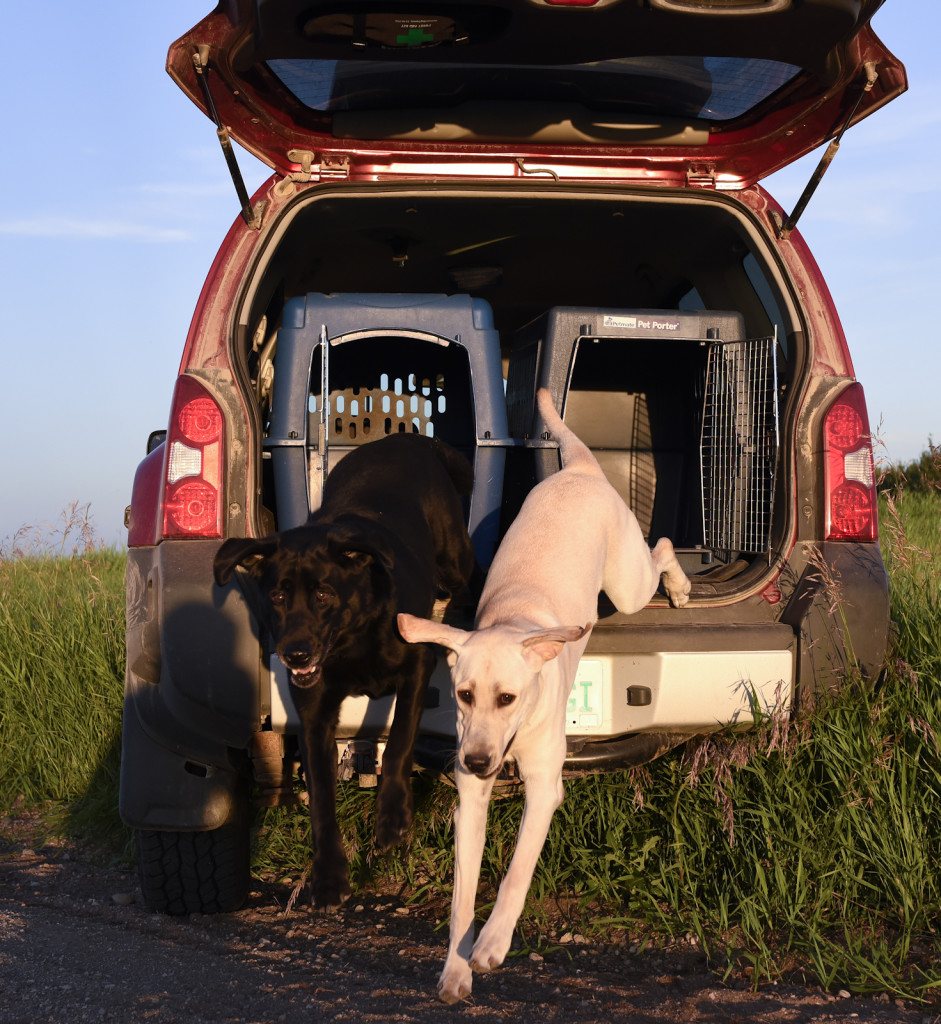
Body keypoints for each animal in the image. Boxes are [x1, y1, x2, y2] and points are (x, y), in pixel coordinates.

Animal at [216, 436, 475, 909]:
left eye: (323, 595)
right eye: (277, 596)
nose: (294, 655)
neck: (352, 642)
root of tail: (404, 438)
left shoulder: (416, 669)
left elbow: (398, 743)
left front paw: (392, 819)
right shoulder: (315, 717)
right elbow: (320, 794)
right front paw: (329, 874)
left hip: (454, 555)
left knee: (470, 568)